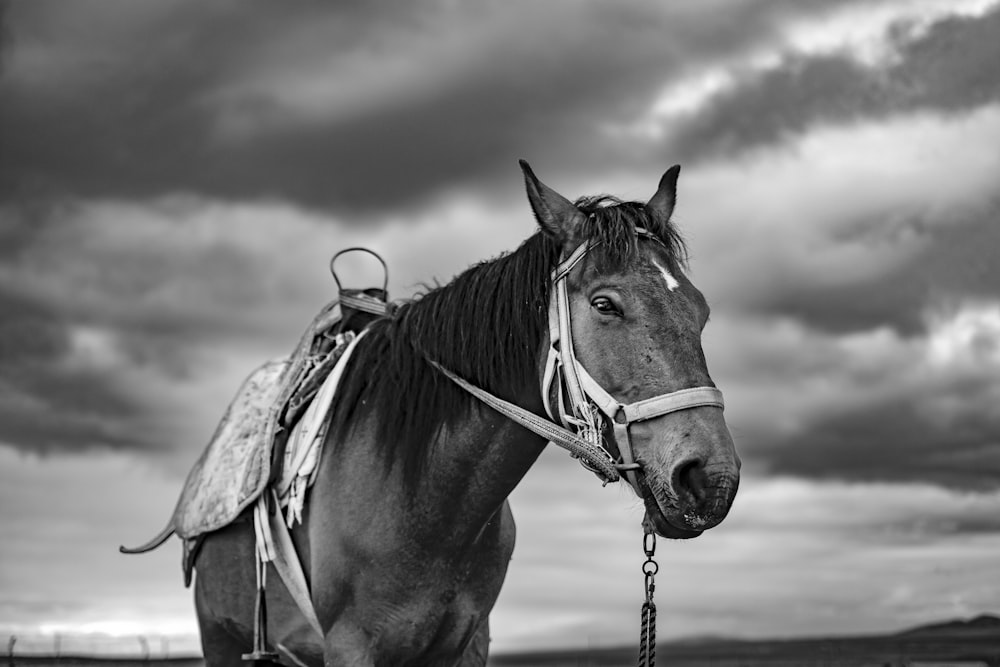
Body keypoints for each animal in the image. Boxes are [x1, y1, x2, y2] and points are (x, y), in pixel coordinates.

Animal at [193, 163, 744, 667]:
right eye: (605, 304)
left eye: (700, 310)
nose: (711, 478)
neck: (423, 503)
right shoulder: (351, 647)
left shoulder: (468, 643)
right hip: (222, 640)